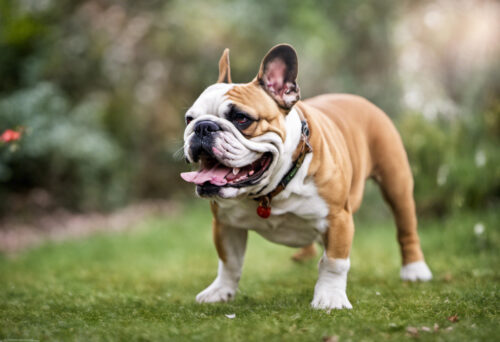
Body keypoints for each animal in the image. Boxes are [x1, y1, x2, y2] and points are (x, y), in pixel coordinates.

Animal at [182, 44, 432, 308]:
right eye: (189, 119)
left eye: (241, 118)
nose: (203, 127)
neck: (273, 189)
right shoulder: (225, 223)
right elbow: (229, 262)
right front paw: (221, 291)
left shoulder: (337, 218)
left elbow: (334, 262)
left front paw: (330, 297)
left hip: (397, 184)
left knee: (406, 227)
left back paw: (415, 269)